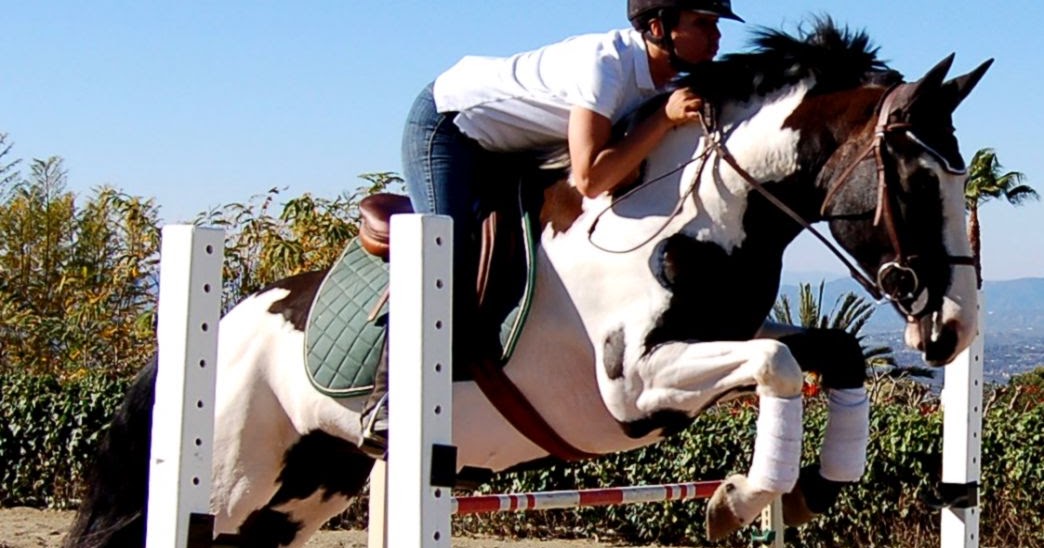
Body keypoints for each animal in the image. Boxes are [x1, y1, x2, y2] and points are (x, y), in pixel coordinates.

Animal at [67, 20, 990, 547]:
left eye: (963, 180)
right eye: (915, 180)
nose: (952, 329)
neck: (701, 207)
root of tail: (219, 324)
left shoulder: (716, 341)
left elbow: (829, 353)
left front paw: (809, 493)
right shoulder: (632, 385)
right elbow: (779, 364)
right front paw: (738, 499)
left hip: (297, 493)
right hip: (228, 484)